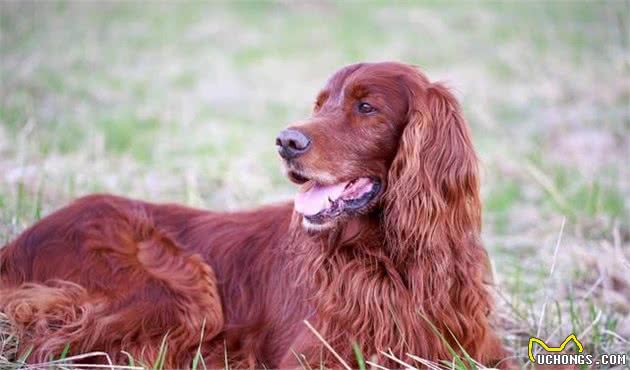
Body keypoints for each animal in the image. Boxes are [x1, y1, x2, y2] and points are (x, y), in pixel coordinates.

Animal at [0, 62, 512, 368]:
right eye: (320, 104)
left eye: (366, 107)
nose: (287, 141)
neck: (392, 261)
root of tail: (16, 245)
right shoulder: (317, 356)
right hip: (178, 288)